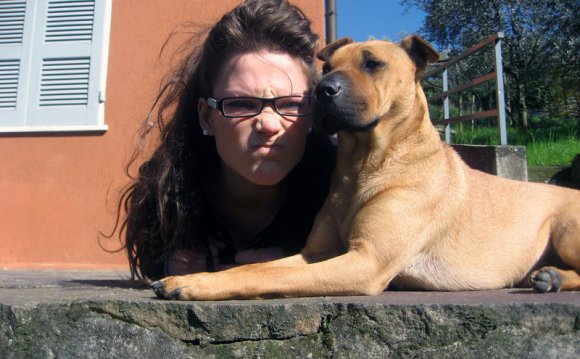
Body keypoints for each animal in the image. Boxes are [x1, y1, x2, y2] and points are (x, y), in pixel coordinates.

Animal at [153, 36, 580, 300]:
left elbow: (266, 273)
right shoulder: (316, 255)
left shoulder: (366, 261)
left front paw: (193, 284)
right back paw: (550, 276)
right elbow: (258, 267)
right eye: (326, 66)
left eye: (373, 64)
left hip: (566, 229)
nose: (322, 89)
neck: (364, 165)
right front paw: (196, 277)